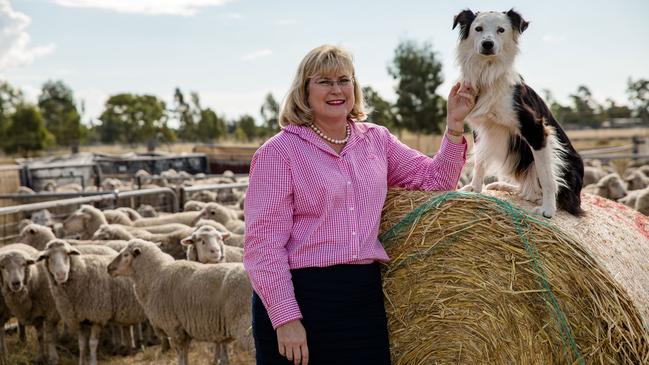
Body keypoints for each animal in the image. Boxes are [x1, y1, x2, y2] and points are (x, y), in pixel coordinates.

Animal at [107, 239, 252, 364]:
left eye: (125, 255)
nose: (109, 268)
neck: (155, 276)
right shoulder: (183, 329)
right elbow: (185, 353)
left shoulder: (173, 326)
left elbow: (181, 354)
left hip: (244, 322)